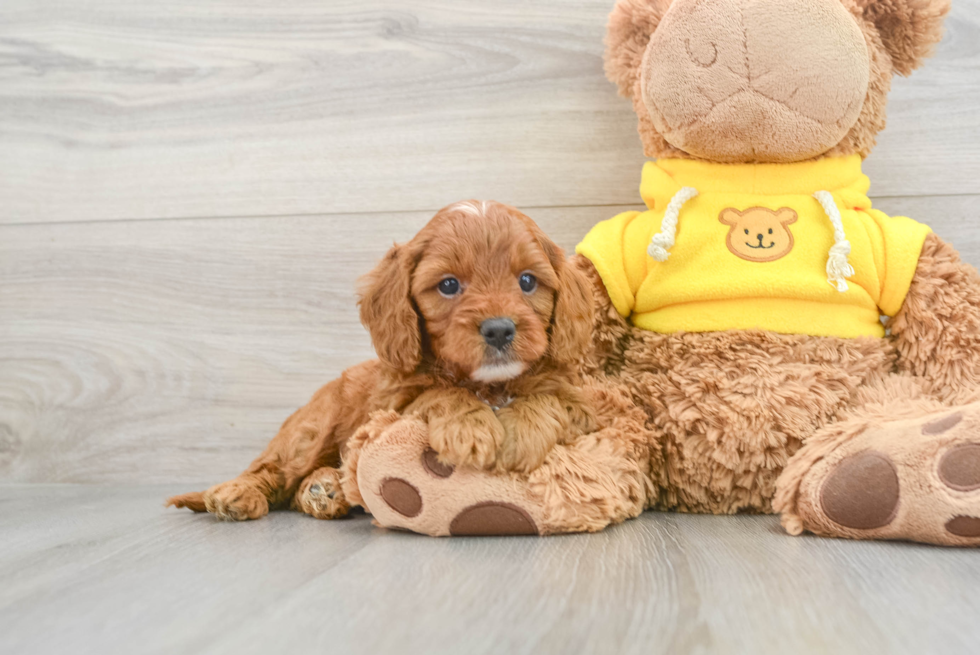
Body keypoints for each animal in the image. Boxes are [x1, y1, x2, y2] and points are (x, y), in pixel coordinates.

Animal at [167, 201, 592, 524]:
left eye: (527, 281)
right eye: (449, 285)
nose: (499, 330)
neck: (489, 384)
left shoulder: (587, 403)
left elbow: (551, 399)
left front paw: (522, 432)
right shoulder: (393, 403)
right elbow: (439, 393)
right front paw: (469, 428)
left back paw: (325, 489)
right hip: (312, 430)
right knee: (272, 468)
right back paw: (237, 493)